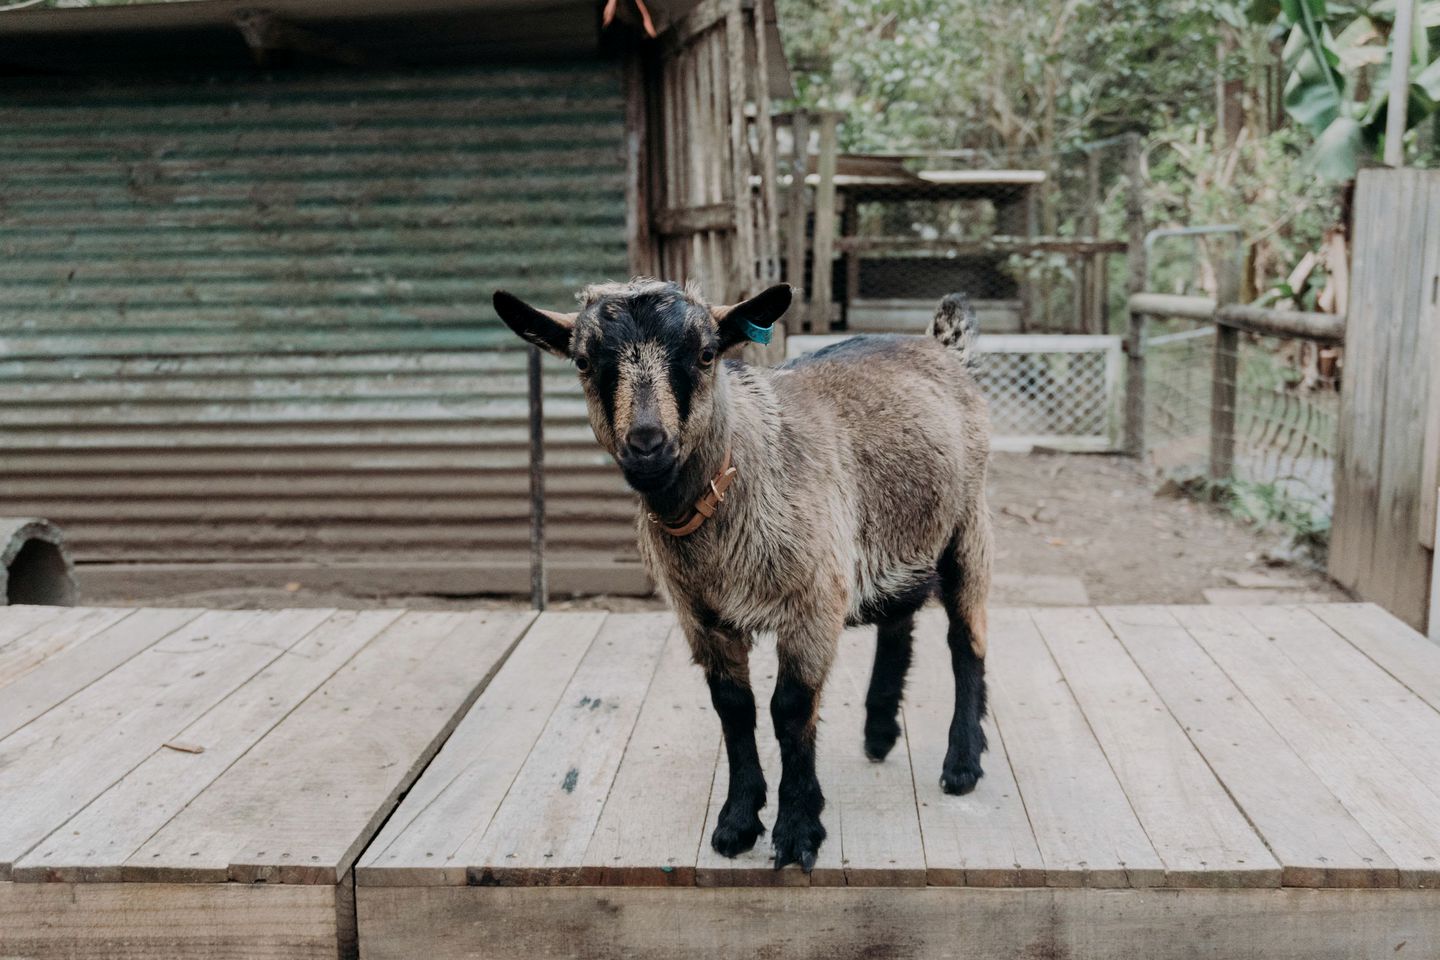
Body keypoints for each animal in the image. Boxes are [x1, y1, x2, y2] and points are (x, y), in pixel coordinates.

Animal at [495, 277, 990, 869]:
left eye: (707, 354)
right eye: (584, 362)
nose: (647, 444)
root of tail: (939, 344)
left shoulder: (812, 601)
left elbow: (790, 709)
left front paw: (797, 832)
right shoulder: (701, 616)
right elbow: (734, 708)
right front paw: (736, 822)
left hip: (969, 525)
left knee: (967, 640)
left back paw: (961, 764)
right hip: (899, 531)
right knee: (899, 619)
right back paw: (878, 731)